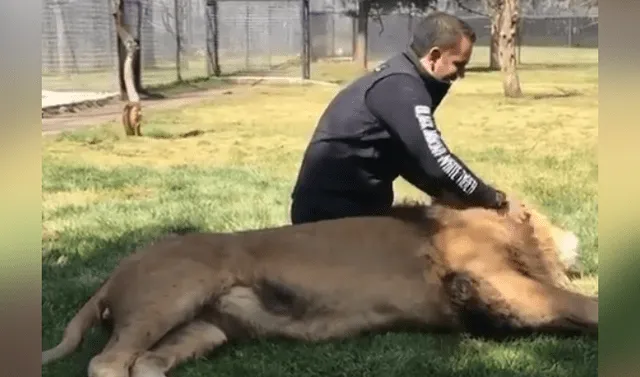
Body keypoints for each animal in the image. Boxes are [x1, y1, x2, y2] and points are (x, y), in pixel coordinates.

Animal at [42, 197, 596, 376]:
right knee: (107, 363)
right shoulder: (496, 278)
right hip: (175, 294)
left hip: (204, 328)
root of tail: (113, 273)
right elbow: (584, 302)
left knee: (146, 364)